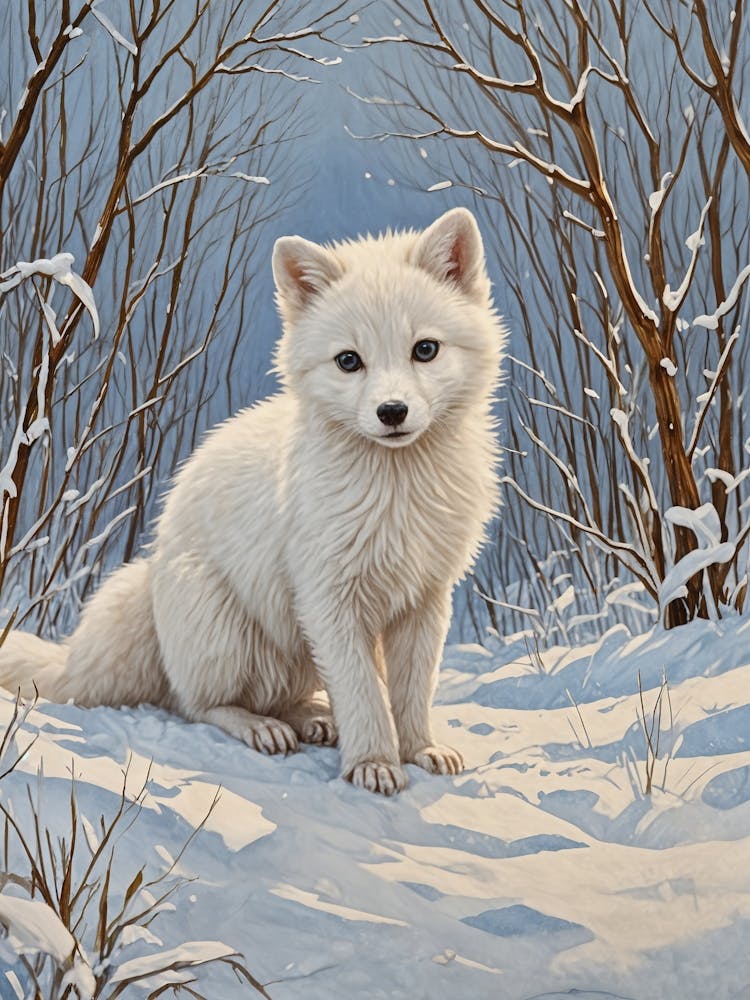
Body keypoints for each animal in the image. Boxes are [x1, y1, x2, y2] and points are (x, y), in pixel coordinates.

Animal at [0, 207, 505, 795]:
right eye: (349, 361)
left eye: (425, 349)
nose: (392, 411)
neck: (397, 489)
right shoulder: (328, 599)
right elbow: (362, 689)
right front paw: (375, 764)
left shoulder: (425, 596)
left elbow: (412, 687)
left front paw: (420, 749)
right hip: (221, 624)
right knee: (197, 703)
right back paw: (263, 727)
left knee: (277, 697)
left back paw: (313, 718)